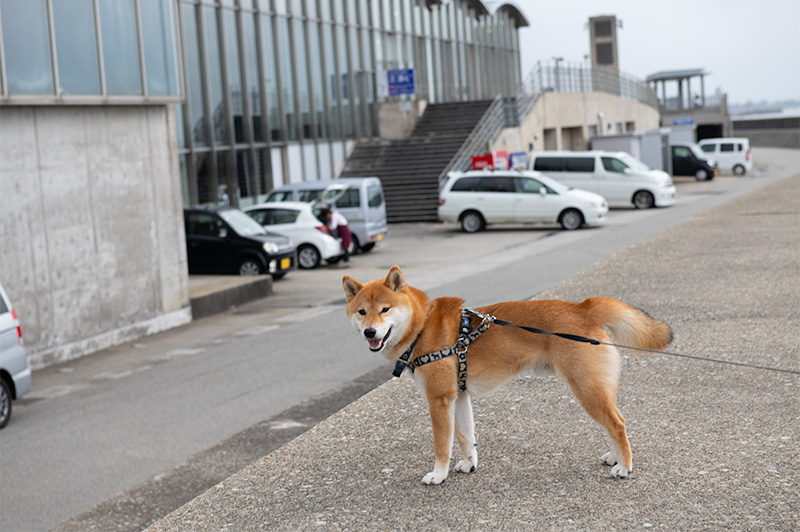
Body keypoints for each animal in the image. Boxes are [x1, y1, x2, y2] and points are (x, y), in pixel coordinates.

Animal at [340, 264, 672, 484]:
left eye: (385, 309)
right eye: (362, 312)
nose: (370, 332)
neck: (421, 326)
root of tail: (583, 307)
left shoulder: (439, 399)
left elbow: (441, 443)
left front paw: (438, 474)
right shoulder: (459, 396)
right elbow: (466, 437)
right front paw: (469, 465)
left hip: (586, 387)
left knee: (616, 423)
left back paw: (625, 467)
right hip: (594, 388)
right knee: (614, 423)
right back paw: (615, 457)